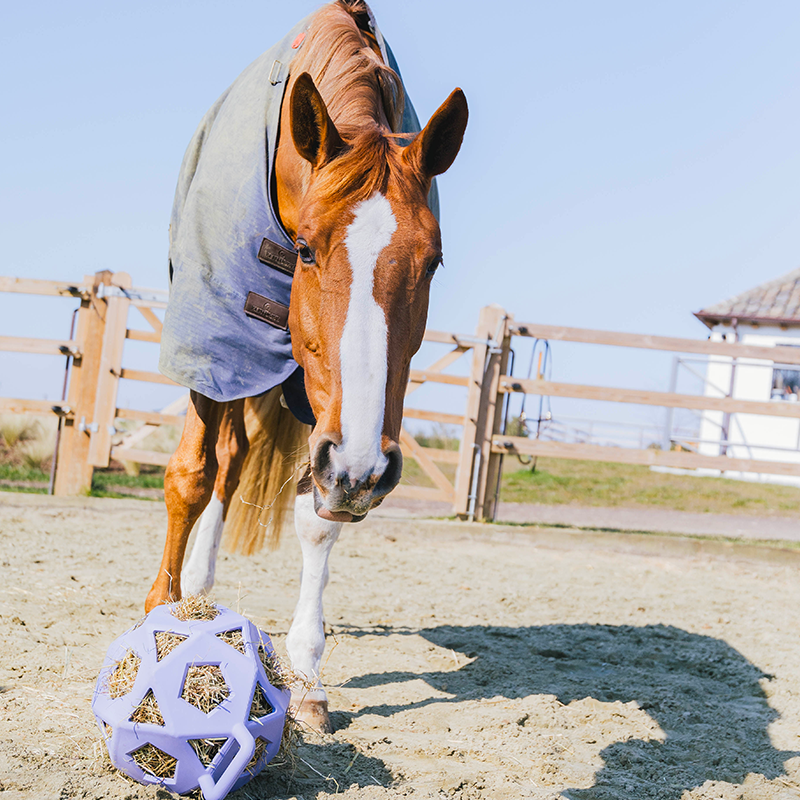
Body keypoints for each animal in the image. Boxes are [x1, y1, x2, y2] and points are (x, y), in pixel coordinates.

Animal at [147, 0, 466, 736]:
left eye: (433, 262)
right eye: (308, 250)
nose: (363, 469)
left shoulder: (334, 424)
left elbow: (317, 520)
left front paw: (308, 676)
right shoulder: (214, 347)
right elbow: (189, 477)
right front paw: (160, 615)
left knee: (238, 459)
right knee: (218, 464)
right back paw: (191, 589)